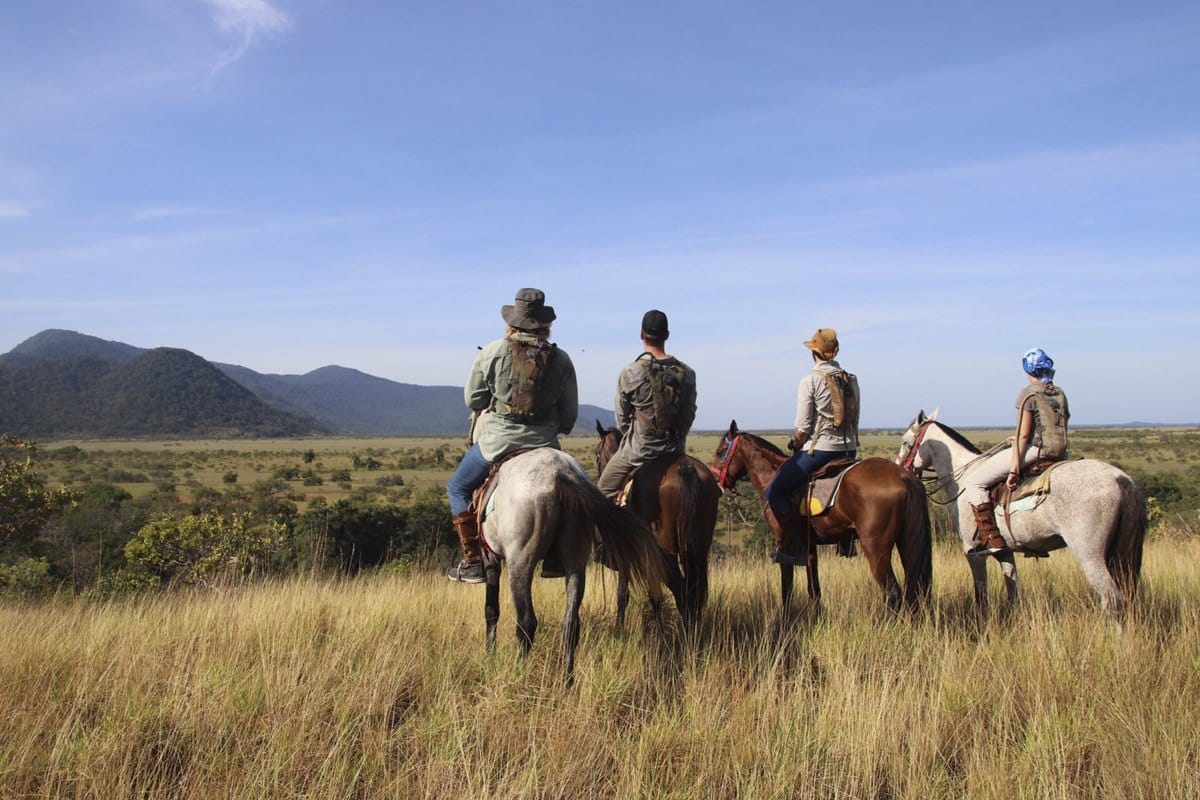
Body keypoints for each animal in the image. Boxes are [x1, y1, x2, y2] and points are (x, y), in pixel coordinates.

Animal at [477, 448, 667, 686]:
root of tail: (560, 473)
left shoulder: (491, 559)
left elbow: (491, 610)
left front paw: (489, 655)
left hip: (520, 563)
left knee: (526, 623)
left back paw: (517, 676)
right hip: (575, 561)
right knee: (571, 624)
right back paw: (567, 681)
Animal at [592, 422, 715, 628]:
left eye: (597, 455)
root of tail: (685, 468)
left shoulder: (626, 555)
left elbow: (624, 595)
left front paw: (619, 629)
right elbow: (654, 595)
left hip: (666, 552)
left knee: (681, 591)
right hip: (698, 549)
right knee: (693, 591)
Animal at [705, 419, 931, 614]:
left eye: (721, 451)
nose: (715, 481)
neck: (773, 476)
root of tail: (902, 476)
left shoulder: (784, 542)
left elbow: (787, 587)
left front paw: (785, 619)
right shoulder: (809, 546)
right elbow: (814, 588)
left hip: (876, 548)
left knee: (892, 592)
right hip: (905, 541)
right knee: (914, 589)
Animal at [902, 410, 1142, 618]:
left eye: (905, 442)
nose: (901, 467)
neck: (962, 478)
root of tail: (1122, 479)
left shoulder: (972, 552)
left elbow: (981, 595)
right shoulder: (1004, 551)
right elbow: (1013, 590)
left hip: (1090, 555)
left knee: (1112, 598)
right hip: (1117, 554)